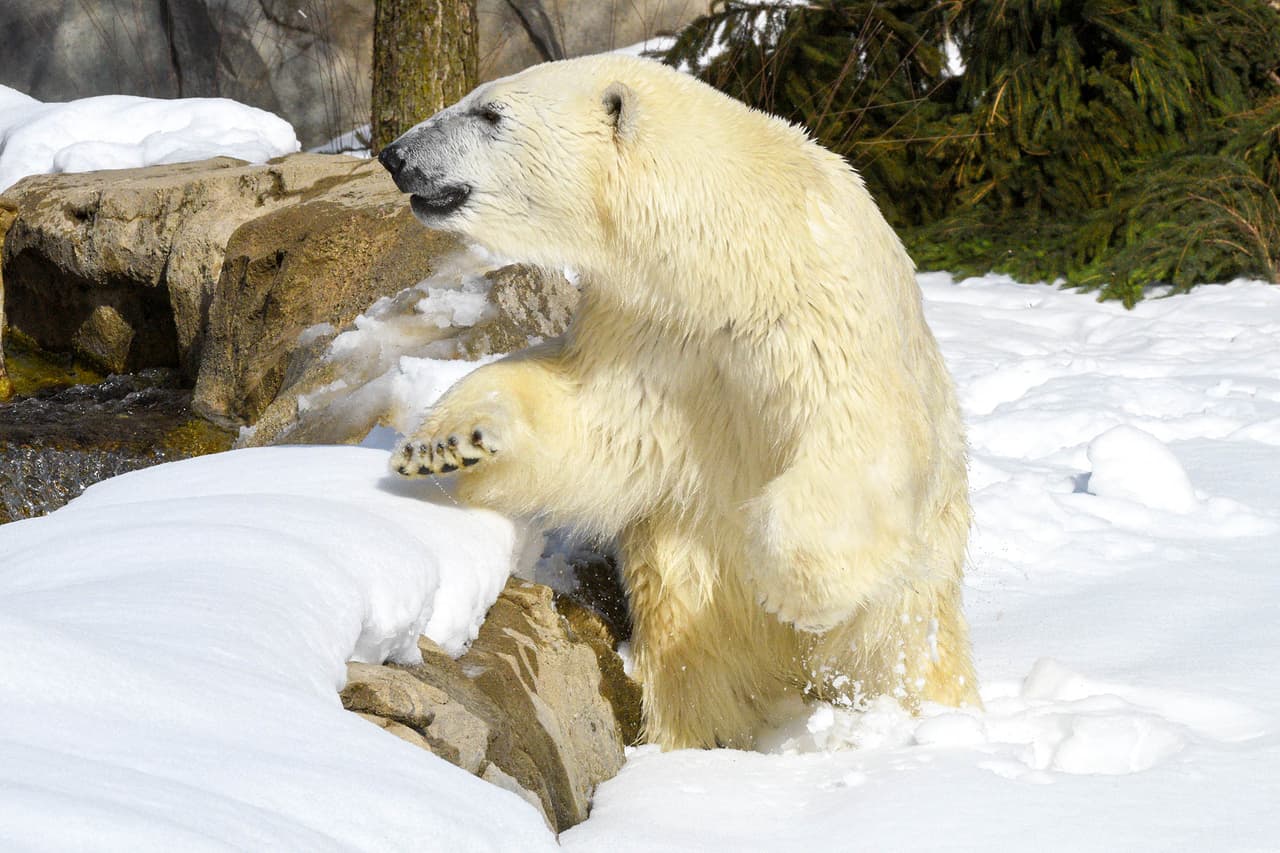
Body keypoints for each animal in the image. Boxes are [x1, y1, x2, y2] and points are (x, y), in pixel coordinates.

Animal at [379, 54, 980, 750]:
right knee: (692, 661)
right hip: (689, 586)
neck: (728, 262)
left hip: (906, 603)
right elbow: (596, 426)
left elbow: (859, 433)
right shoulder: (653, 333)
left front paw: (792, 587)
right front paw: (445, 443)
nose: (393, 154)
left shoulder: (822, 307)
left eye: (489, 112)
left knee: (901, 656)